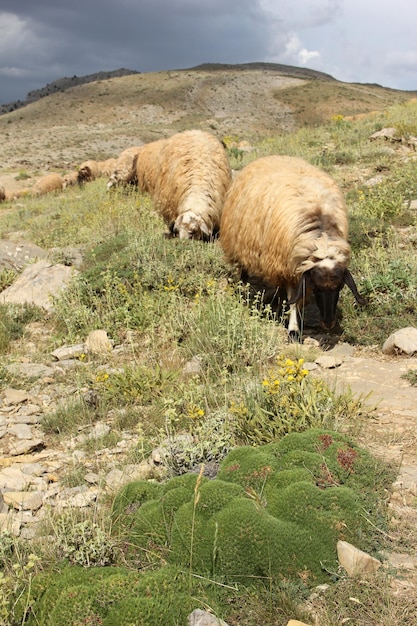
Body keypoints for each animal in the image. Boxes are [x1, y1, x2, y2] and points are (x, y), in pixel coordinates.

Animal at [218, 155, 364, 338]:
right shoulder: (286, 266)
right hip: (240, 244)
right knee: (243, 270)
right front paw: (293, 328)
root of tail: (272, 156)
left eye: (340, 287)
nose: (328, 324)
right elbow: (293, 298)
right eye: (317, 288)